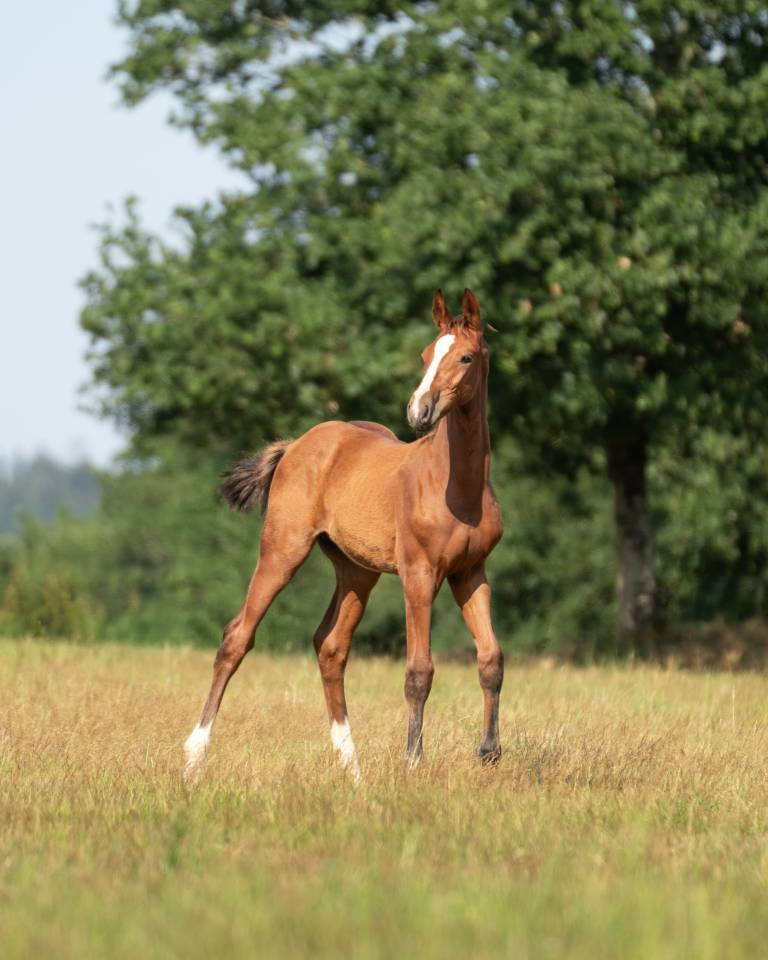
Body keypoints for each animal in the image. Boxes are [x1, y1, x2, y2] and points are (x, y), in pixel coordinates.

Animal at [184, 288, 504, 781]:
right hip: (283, 549)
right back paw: (194, 755)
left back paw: (351, 767)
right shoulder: (419, 575)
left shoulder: (470, 573)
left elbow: (490, 659)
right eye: (425, 354)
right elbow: (419, 671)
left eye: (466, 357)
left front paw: (489, 752)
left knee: (331, 647)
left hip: (356, 571)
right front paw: (413, 761)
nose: (419, 411)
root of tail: (296, 444)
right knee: (237, 637)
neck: (455, 485)